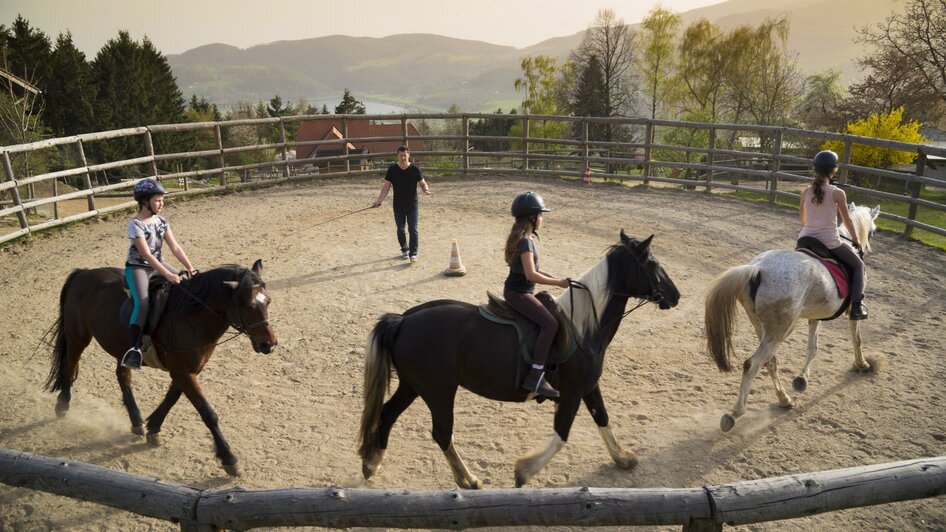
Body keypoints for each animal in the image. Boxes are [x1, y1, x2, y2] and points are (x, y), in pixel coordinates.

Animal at [45, 260, 272, 476]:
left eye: (268, 301)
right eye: (247, 305)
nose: (269, 344)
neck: (192, 317)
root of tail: (83, 273)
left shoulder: (187, 370)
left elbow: (172, 398)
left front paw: (153, 427)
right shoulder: (182, 371)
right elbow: (208, 413)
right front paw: (229, 459)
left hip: (120, 348)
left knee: (122, 376)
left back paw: (136, 421)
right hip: (78, 336)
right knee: (70, 365)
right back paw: (62, 405)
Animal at [358, 231, 676, 488]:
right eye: (653, 264)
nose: (675, 295)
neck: (584, 327)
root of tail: (403, 319)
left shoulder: (588, 386)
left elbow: (603, 418)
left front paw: (623, 458)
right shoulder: (572, 392)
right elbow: (562, 434)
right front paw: (524, 471)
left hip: (413, 385)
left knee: (387, 414)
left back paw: (372, 463)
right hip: (439, 391)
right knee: (441, 433)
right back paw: (468, 479)